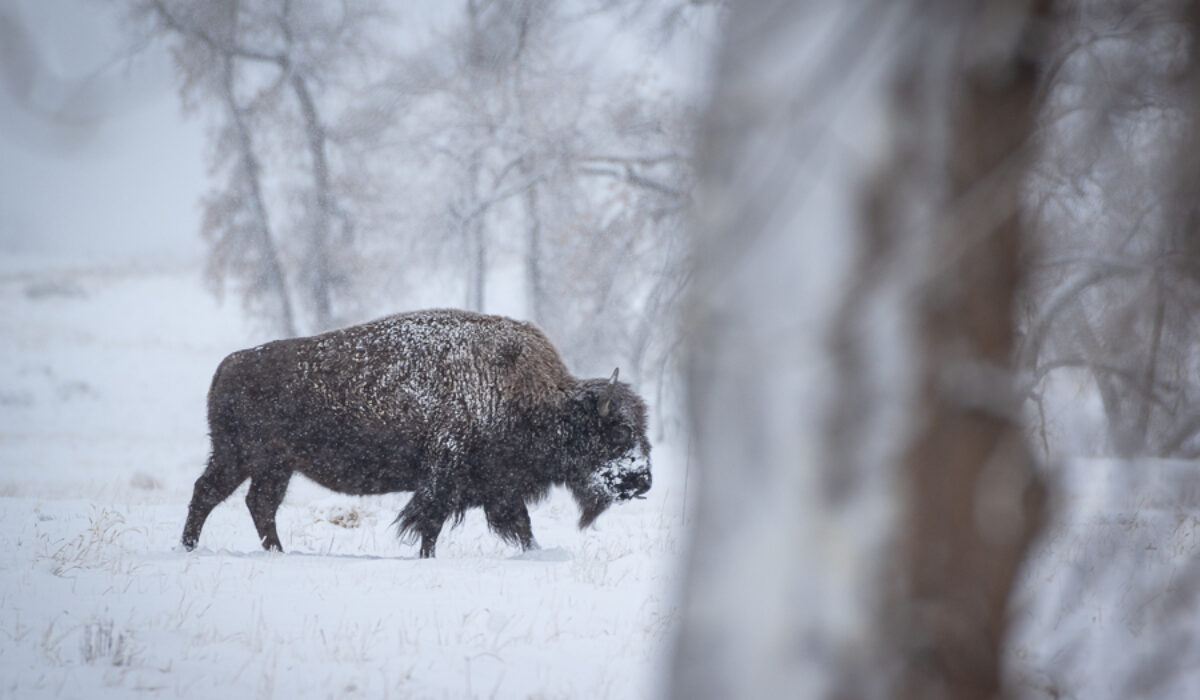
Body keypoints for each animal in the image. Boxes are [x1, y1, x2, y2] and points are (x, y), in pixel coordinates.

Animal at [178, 309, 652, 559]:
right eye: (619, 431)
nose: (643, 480)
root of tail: (229, 364)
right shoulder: (446, 479)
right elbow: (430, 523)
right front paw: (427, 558)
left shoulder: (497, 487)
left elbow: (520, 525)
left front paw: (534, 553)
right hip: (240, 456)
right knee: (208, 493)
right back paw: (188, 547)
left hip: (275, 466)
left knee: (259, 504)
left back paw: (275, 551)